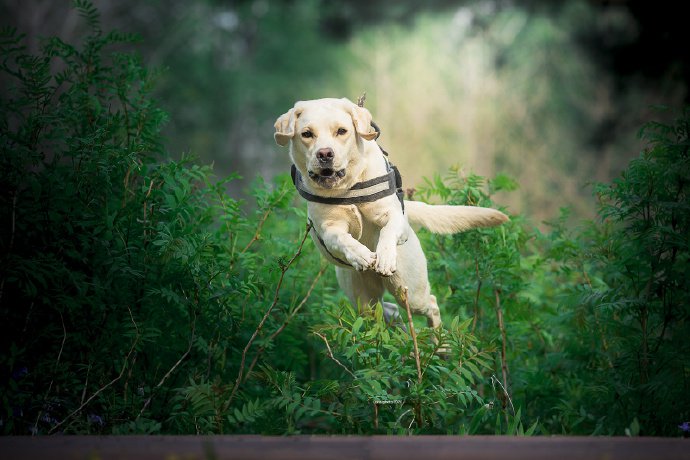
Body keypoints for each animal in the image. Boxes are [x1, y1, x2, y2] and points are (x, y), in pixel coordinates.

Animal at [272, 98, 506, 330]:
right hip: (363, 299)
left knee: (430, 304)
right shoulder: (328, 229)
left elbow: (388, 230)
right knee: (388, 311)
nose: (325, 154)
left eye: (341, 131)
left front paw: (383, 257)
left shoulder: (391, 215)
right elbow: (342, 238)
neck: (348, 188)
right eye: (307, 134)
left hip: (409, 288)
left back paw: (440, 339)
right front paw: (361, 254)